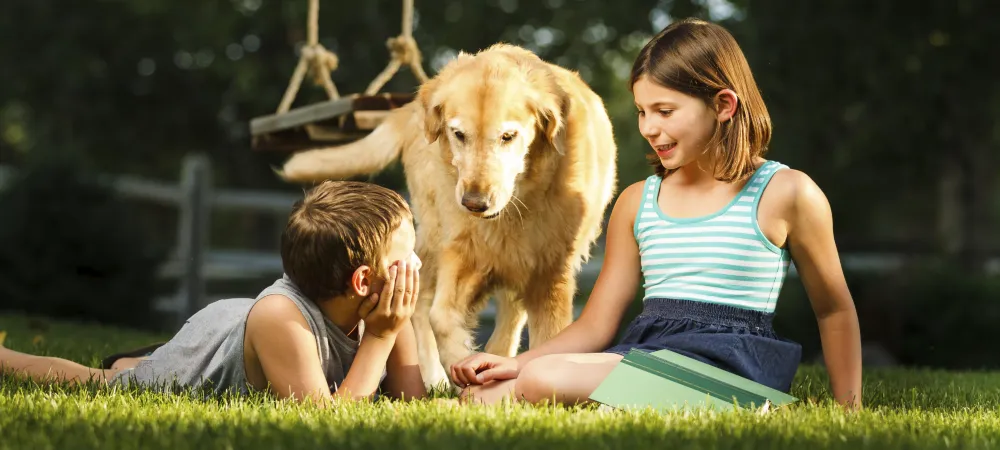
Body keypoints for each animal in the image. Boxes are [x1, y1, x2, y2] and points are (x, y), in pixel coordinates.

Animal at [278, 43, 612, 390]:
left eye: (508, 136)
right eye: (458, 134)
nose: (474, 203)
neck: (515, 207)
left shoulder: (550, 271)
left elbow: (549, 338)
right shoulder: (462, 250)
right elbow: (440, 317)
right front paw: (463, 363)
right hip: (432, 233)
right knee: (422, 298)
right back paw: (434, 376)